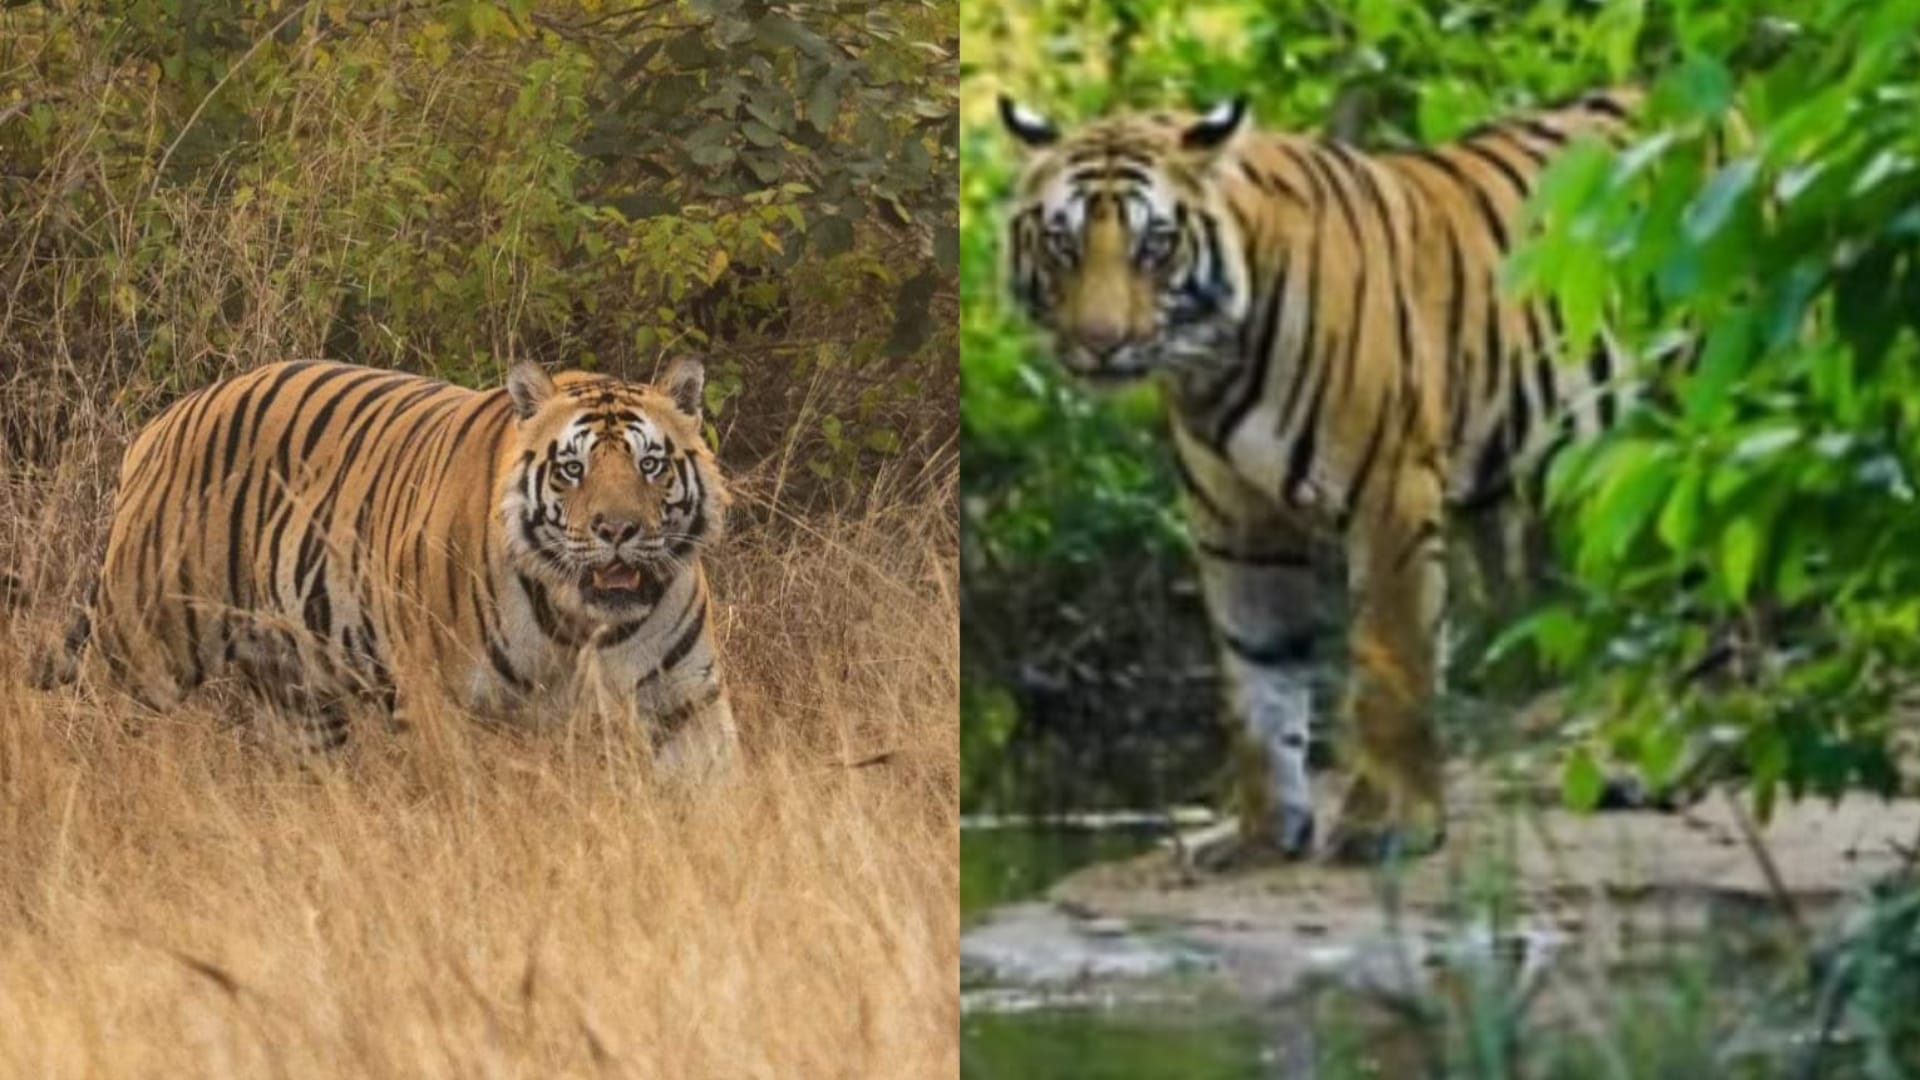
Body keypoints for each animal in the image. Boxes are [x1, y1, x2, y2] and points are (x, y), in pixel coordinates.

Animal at [39, 358, 737, 769]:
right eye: (572, 468)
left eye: (650, 464)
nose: (618, 530)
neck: (576, 619)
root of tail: (162, 422)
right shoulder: (437, 703)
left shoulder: (683, 699)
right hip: (143, 649)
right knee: (96, 720)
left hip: (296, 695)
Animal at [997, 88, 1642, 863]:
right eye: (1062, 244)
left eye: (1153, 244)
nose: (1098, 343)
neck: (1212, 364)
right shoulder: (1236, 524)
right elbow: (1258, 675)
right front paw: (1263, 832)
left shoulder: (1391, 491)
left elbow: (1392, 659)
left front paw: (1392, 823)